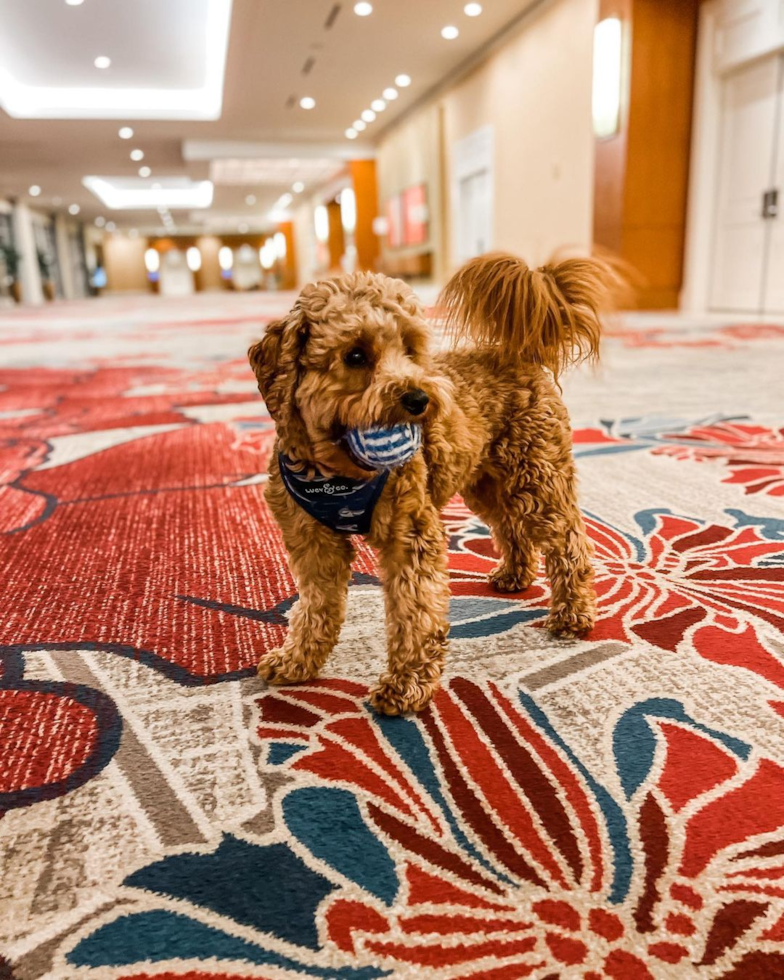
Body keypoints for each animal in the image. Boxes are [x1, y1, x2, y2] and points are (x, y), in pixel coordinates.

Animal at [250, 251, 620, 712]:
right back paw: (514, 574)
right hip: (487, 483)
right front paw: (298, 660)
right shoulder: (312, 542)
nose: (418, 399)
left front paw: (407, 683)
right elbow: (317, 607)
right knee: (511, 528)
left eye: (410, 349)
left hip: (539, 479)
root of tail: (522, 355)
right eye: (355, 355)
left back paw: (573, 613)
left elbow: (415, 610)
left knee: (569, 541)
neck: (338, 475)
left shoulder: (409, 535)